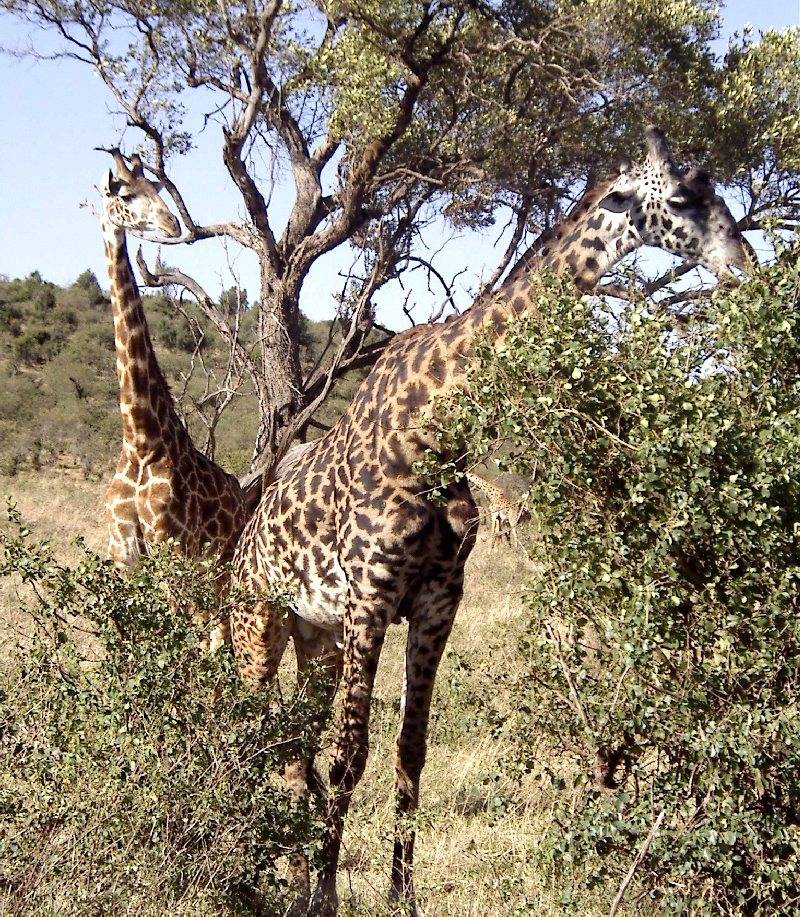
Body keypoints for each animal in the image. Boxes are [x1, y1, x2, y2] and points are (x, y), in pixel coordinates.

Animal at [100, 150, 248, 647]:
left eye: (159, 189)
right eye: (126, 193)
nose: (170, 224)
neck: (141, 441)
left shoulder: (170, 552)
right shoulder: (124, 559)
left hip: (219, 565)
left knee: (220, 633)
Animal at [229, 127, 751, 915]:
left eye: (718, 188)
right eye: (685, 199)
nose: (745, 265)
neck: (435, 428)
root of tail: (241, 546)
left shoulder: (438, 603)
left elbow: (410, 750)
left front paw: (401, 894)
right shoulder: (370, 600)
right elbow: (351, 755)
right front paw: (326, 890)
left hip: (314, 636)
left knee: (292, 745)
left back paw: (282, 868)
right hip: (259, 625)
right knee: (252, 731)